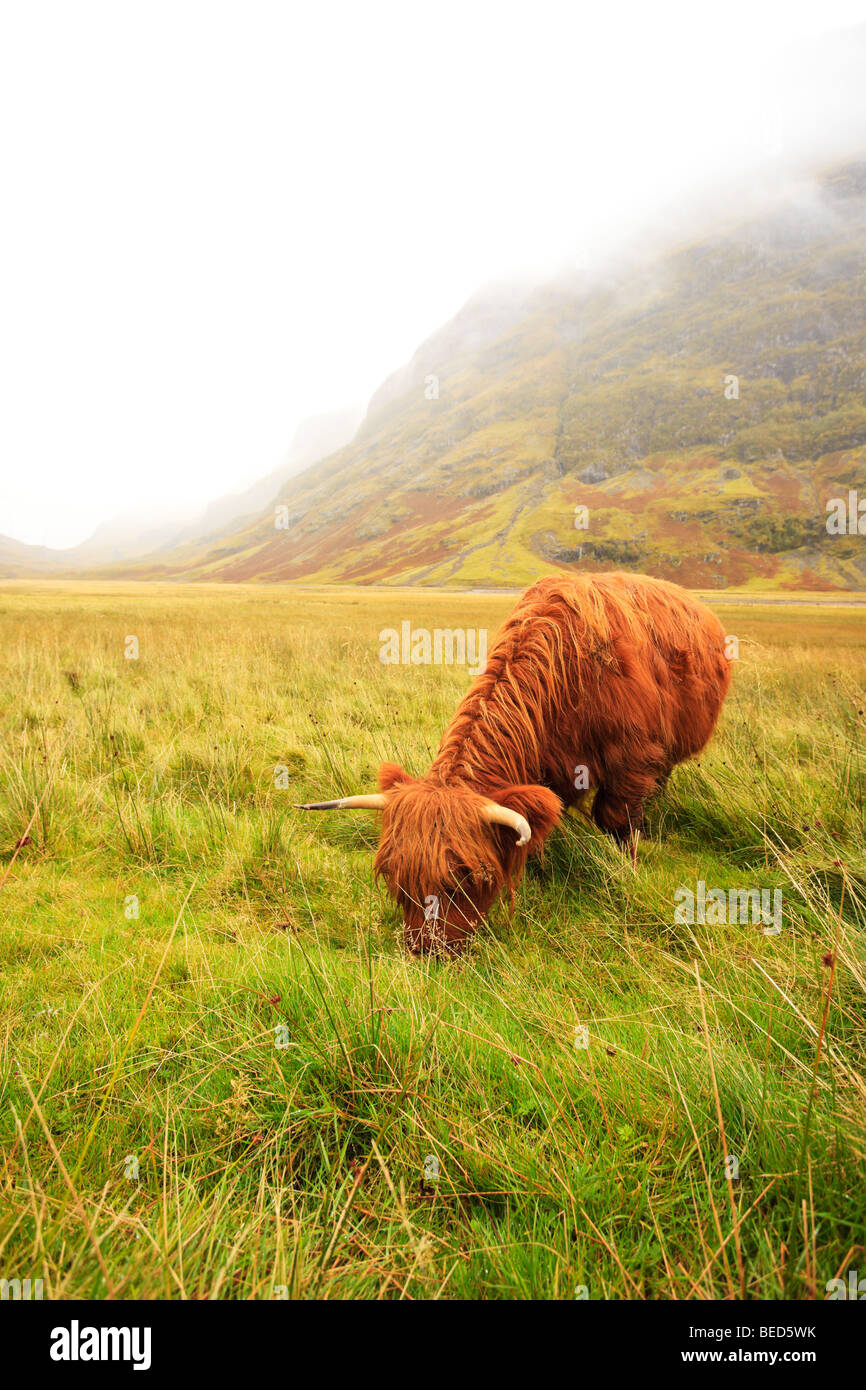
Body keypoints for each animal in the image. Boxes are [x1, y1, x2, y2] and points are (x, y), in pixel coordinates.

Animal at [296, 573, 732, 953]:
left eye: (467, 876)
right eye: (393, 874)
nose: (426, 949)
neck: (569, 676)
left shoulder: (632, 761)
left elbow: (618, 822)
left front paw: (626, 868)